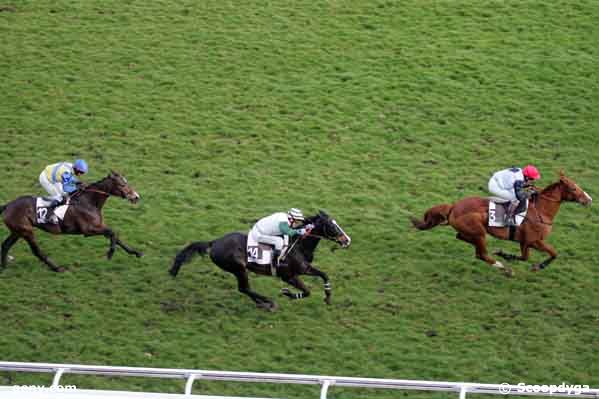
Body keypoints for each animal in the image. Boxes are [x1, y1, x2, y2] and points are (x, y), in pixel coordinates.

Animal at [0, 170, 142, 274]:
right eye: (122, 184)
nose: (136, 197)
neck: (89, 201)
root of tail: (7, 206)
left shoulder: (99, 226)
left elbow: (116, 237)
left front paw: (135, 252)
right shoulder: (88, 230)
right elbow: (112, 233)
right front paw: (110, 253)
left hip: (18, 231)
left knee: (5, 245)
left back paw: (4, 267)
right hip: (26, 231)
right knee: (36, 251)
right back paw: (57, 268)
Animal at [169, 211, 352, 310]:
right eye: (332, 226)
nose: (347, 240)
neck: (299, 245)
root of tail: (214, 242)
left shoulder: (305, 268)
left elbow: (324, 275)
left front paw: (328, 297)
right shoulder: (289, 275)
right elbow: (307, 291)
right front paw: (288, 293)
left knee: (244, 289)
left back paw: (263, 303)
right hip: (239, 268)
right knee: (244, 288)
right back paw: (268, 302)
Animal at [412, 172, 592, 278]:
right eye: (574, 188)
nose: (589, 199)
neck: (541, 211)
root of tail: (453, 206)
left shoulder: (528, 242)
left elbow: (544, 254)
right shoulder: (532, 241)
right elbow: (548, 254)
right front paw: (535, 266)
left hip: (474, 232)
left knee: (464, 240)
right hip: (479, 233)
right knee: (482, 254)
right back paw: (504, 268)